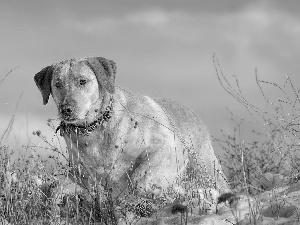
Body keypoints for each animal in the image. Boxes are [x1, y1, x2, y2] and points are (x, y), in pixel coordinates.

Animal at [33, 56, 230, 220]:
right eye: (57, 84)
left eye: (82, 81)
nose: (66, 109)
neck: (97, 127)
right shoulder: (82, 176)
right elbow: (56, 189)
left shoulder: (166, 147)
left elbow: (139, 181)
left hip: (207, 168)